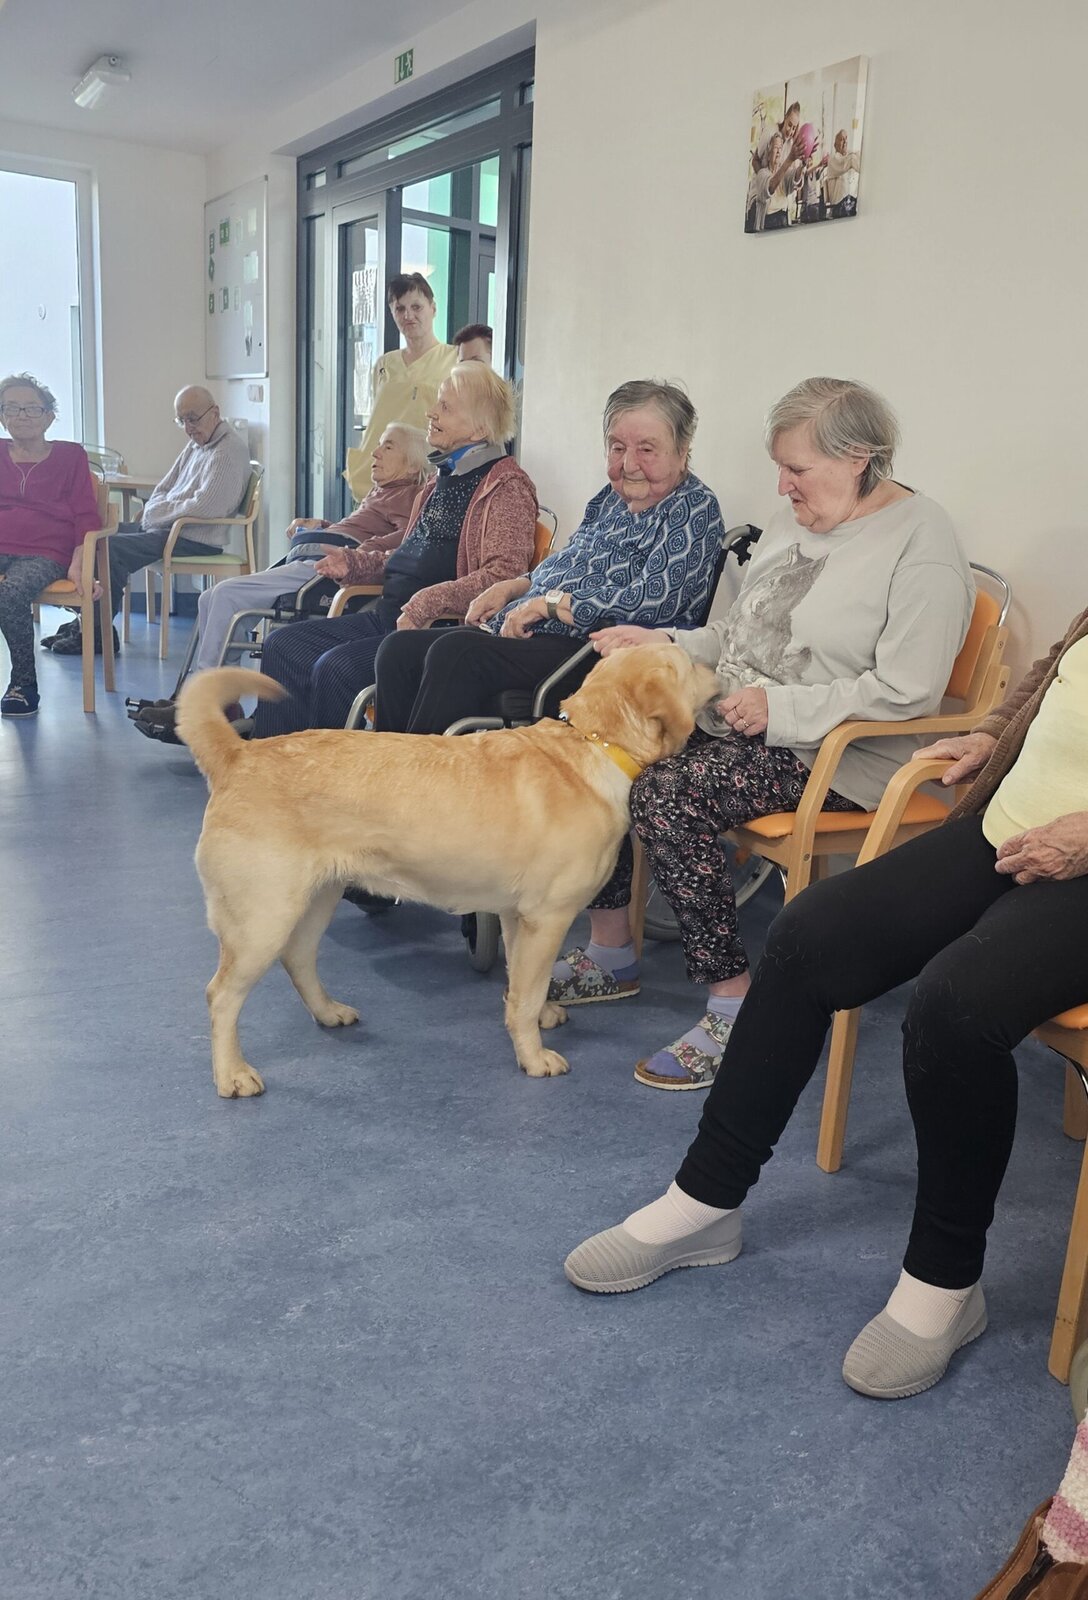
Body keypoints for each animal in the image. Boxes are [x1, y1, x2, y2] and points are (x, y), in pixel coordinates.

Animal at [177, 645, 718, 1098]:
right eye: (688, 661)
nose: (718, 665)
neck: (596, 744)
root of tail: (239, 755)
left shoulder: (517, 917)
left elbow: (522, 983)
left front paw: (538, 1016)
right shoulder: (548, 917)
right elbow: (525, 993)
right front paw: (533, 1057)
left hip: (315, 900)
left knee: (299, 959)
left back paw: (329, 1013)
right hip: (263, 917)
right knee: (221, 996)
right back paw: (232, 1074)